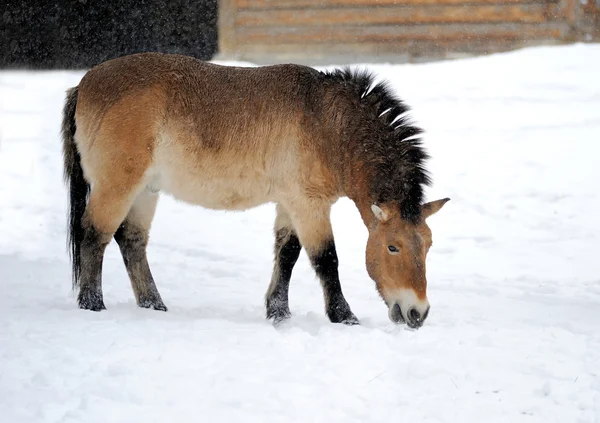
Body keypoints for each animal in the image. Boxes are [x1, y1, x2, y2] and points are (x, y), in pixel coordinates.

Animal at [61, 53, 448, 330]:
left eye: (428, 245)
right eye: (393, 246)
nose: (418, 313)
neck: (328, 125)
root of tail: (84, 84)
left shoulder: (290, 204)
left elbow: (287, 254)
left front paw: (279, 312)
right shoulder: (309, 205)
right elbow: (326, 259)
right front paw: (344, 316)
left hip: (146, 190)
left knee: (132, 241)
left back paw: (154, 305)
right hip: (118, 186)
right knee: (95, 234)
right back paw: (93, 304)